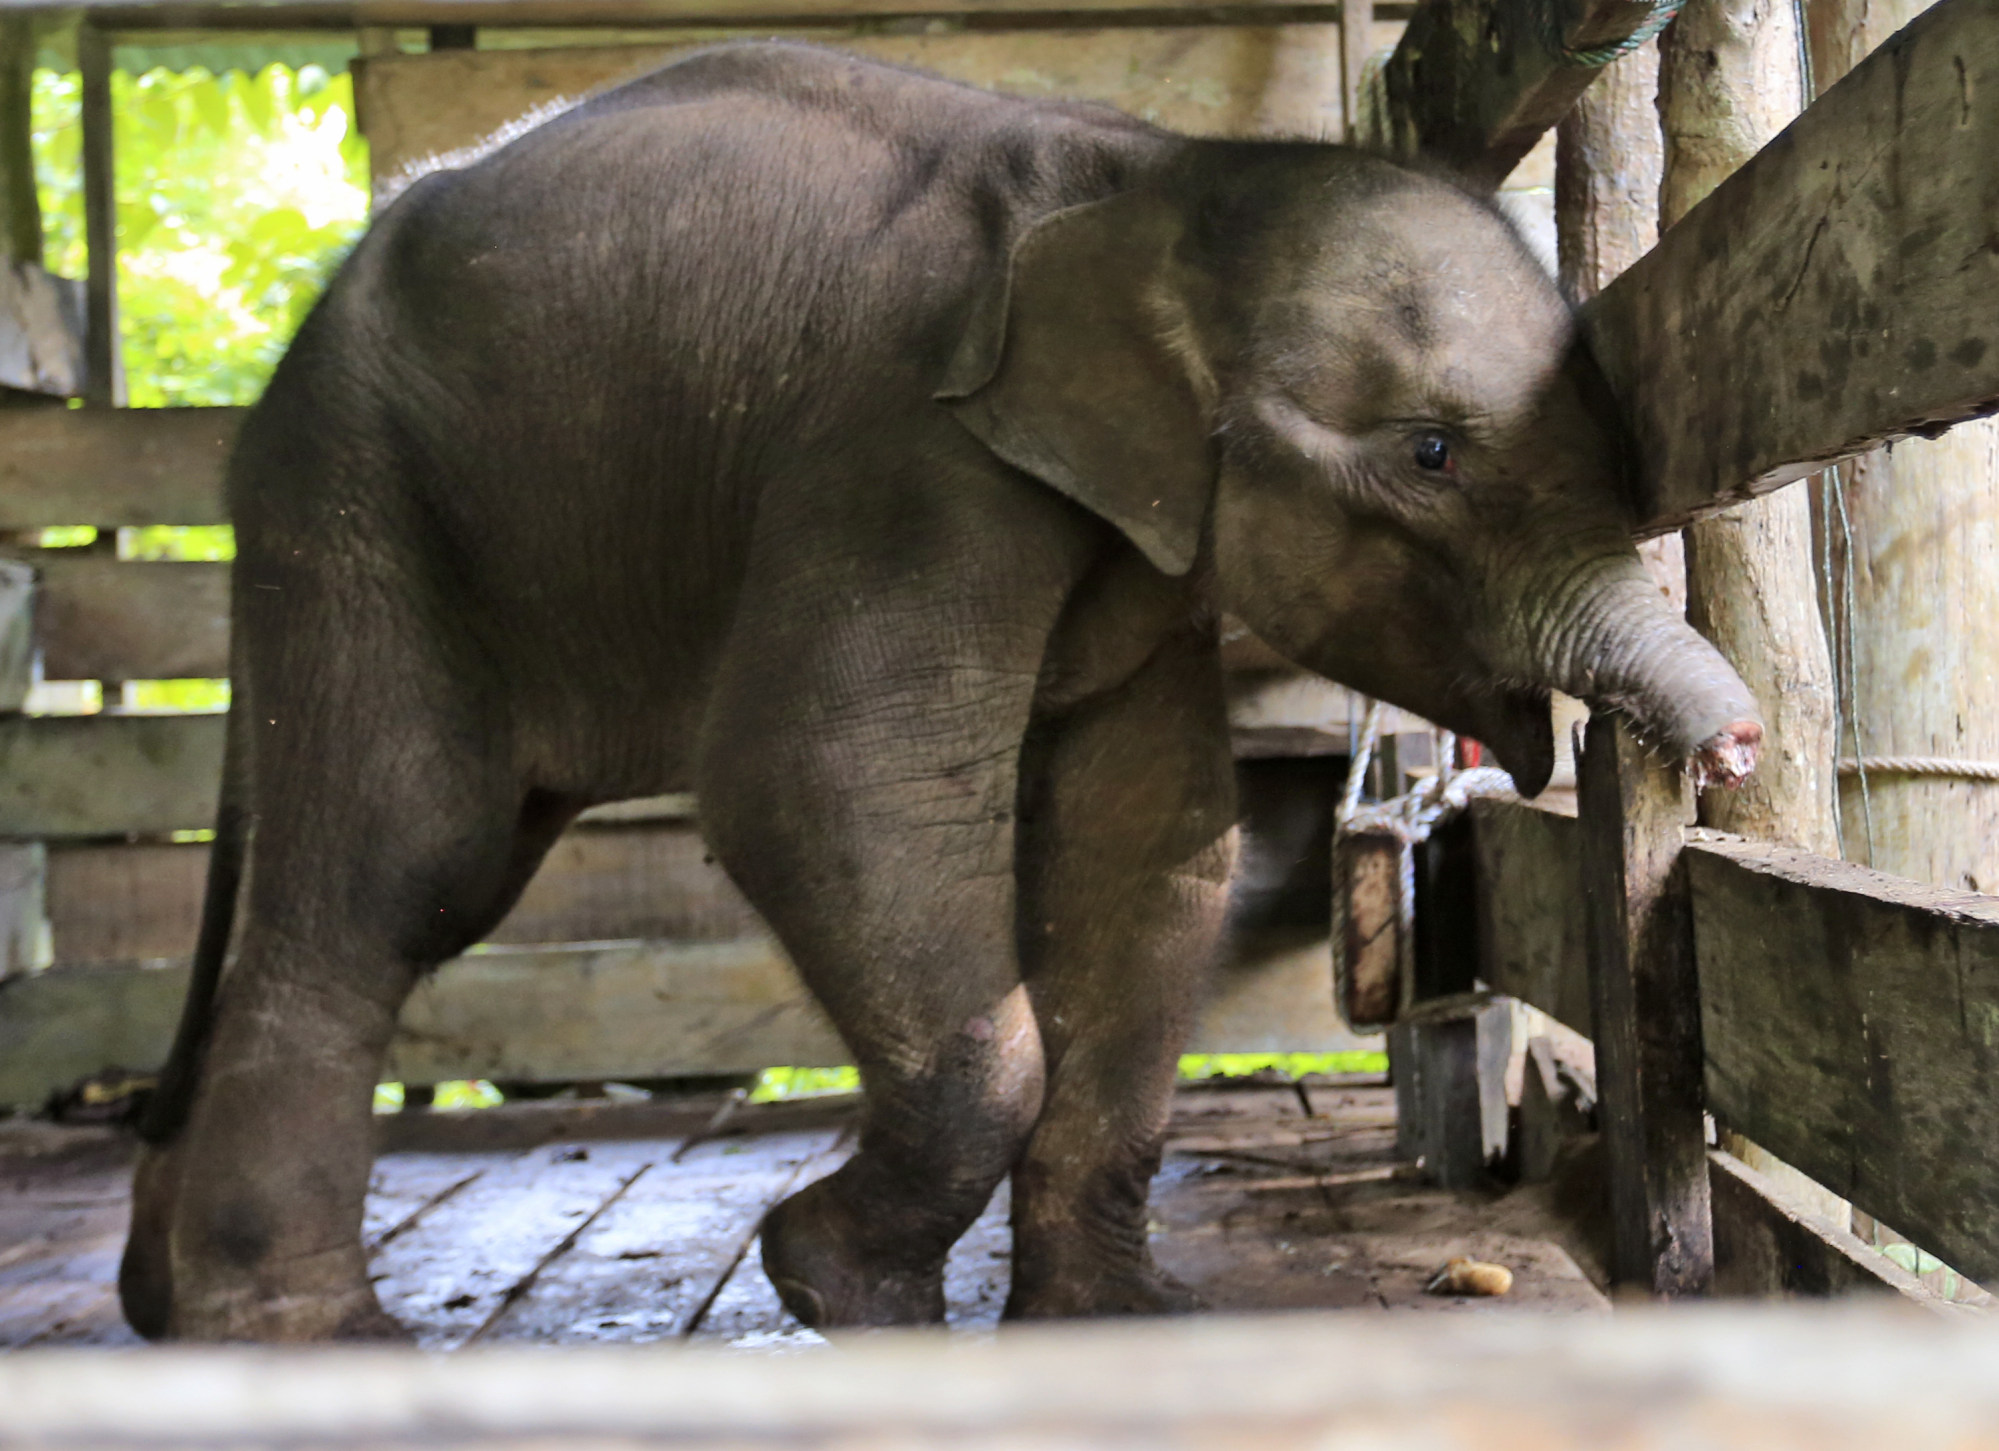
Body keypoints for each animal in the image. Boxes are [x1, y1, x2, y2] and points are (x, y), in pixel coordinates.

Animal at [118, 40, 1761, 1341]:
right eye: (1428, 454)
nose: (1738, 746)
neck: (1153, 184)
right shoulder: (903, 454)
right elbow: (820, 778)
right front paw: (830, 1288)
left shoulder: (1133, 541)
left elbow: (1150, 834)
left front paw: (1111, 1320)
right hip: (360, 502)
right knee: (400, 871)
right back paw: (298, 1333)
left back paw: (174, 1299)